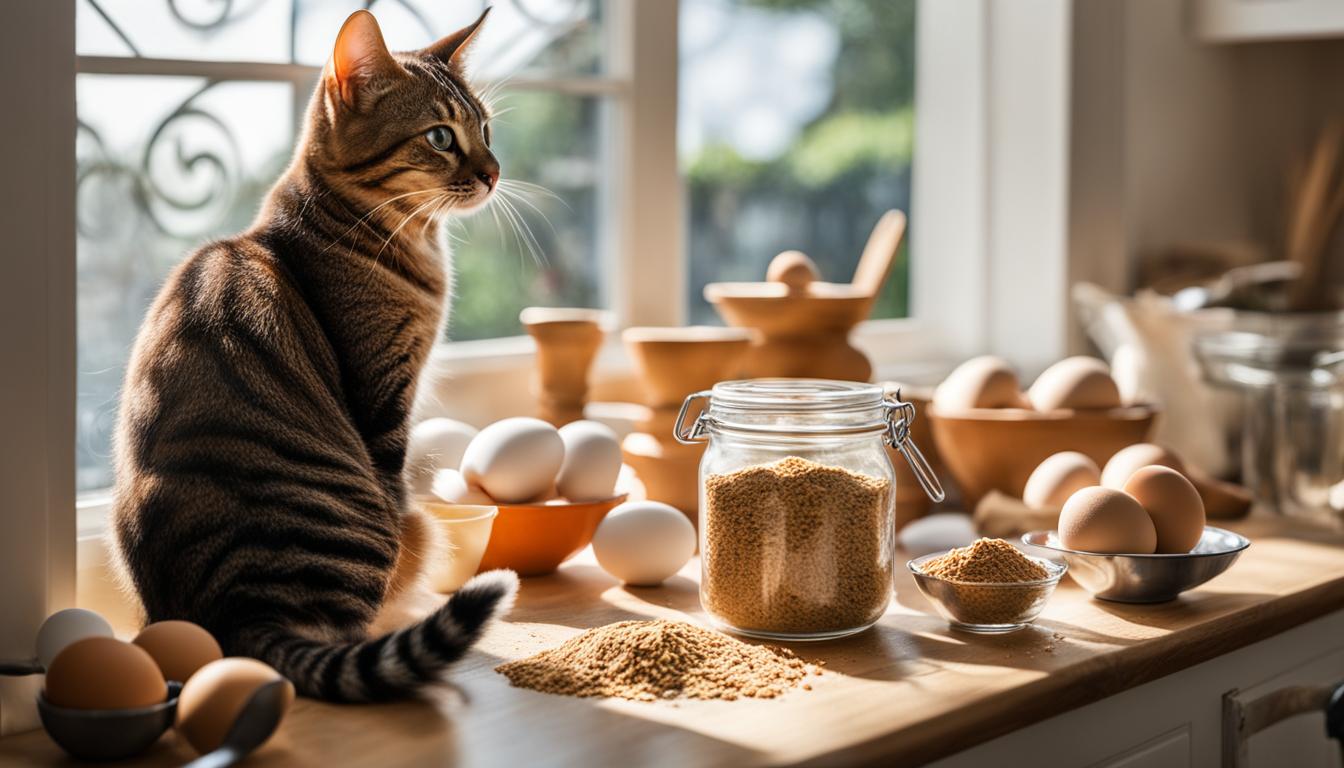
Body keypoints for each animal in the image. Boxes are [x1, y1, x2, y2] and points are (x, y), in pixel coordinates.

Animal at [110, 7, 516, 704]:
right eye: (440, 136)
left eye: (485, 129)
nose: (492, 171)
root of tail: (244, 612)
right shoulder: (387, 395)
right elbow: (395, 471)